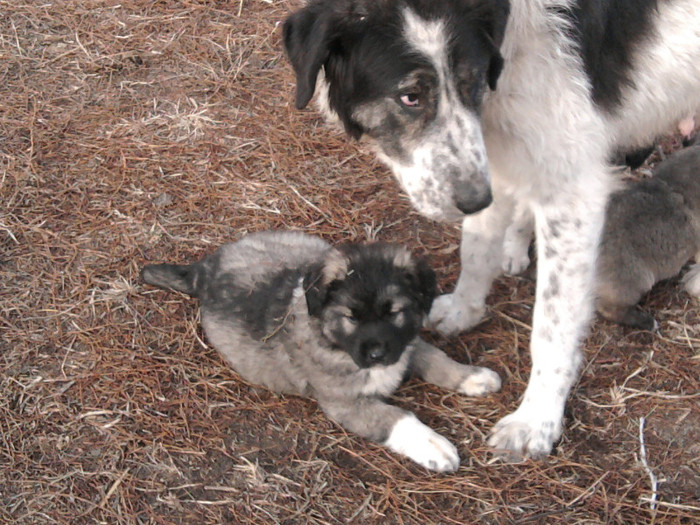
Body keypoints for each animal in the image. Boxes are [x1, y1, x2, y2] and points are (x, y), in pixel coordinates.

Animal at [141, 229, 504, 470]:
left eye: (393, 312)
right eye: (351, 317)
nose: (377, 355)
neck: (337, 344)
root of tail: (205, 269)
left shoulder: (404, 343)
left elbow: (437, 359)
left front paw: (472, 377)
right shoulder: (345, 403)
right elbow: (396, 416)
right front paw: (433, 445)